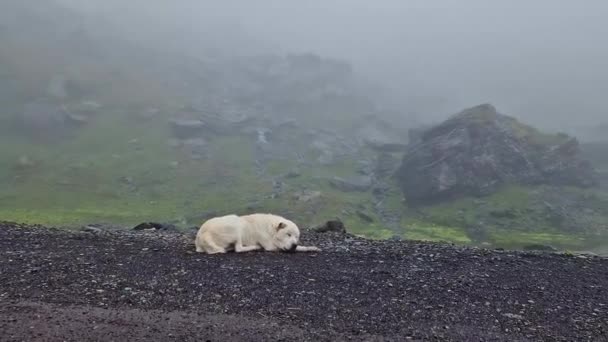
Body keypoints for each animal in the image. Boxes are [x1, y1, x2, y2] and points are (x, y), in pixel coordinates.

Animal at [195, 214, 324, 254]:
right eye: (288, 234)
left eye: (297, 237)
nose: (294, 245)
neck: (270, 229)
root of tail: (203, 234)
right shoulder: (271, 246)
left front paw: (312, 248)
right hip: (235, 225)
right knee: (238, 248)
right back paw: (255, 247)